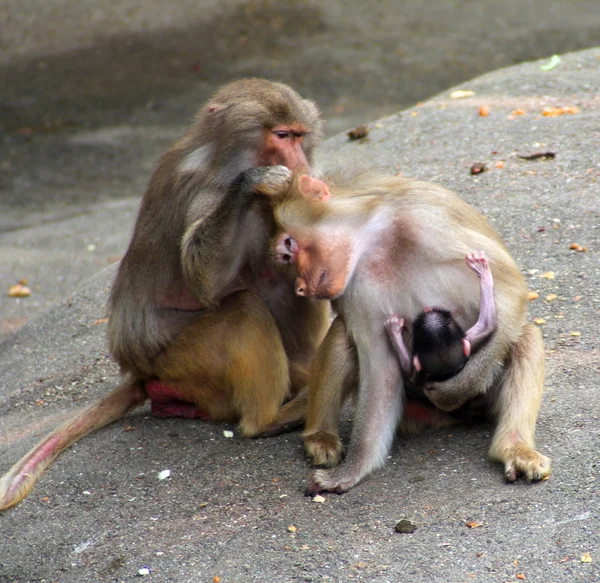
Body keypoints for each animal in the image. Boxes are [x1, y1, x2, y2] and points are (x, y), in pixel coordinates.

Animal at [0, 78, 332, 512]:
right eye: (281, 136)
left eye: (299, 136)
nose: (302, 167)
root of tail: (140, 370)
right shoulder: (205, 193)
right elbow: (205, 278)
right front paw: (256, 181)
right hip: (182, 362)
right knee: (244, 306)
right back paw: (271, 418)